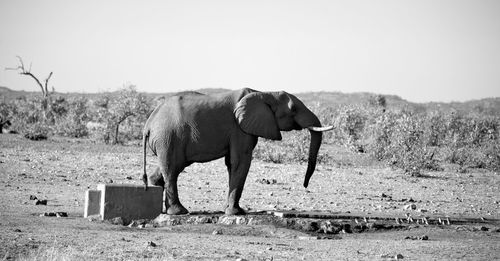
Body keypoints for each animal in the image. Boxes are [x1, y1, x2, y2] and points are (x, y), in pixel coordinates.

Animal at [143, 88, 334, 214]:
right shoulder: (239, 129)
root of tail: (148, 123)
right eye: (293, 109)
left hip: (168, 140)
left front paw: (230, 210)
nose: (305, 185)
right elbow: (240, 161)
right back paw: (179, 212)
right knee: (172, 169)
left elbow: (232, 163)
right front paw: (236, 213)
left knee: (170, 168)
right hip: (168, 137)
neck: (265, 93)